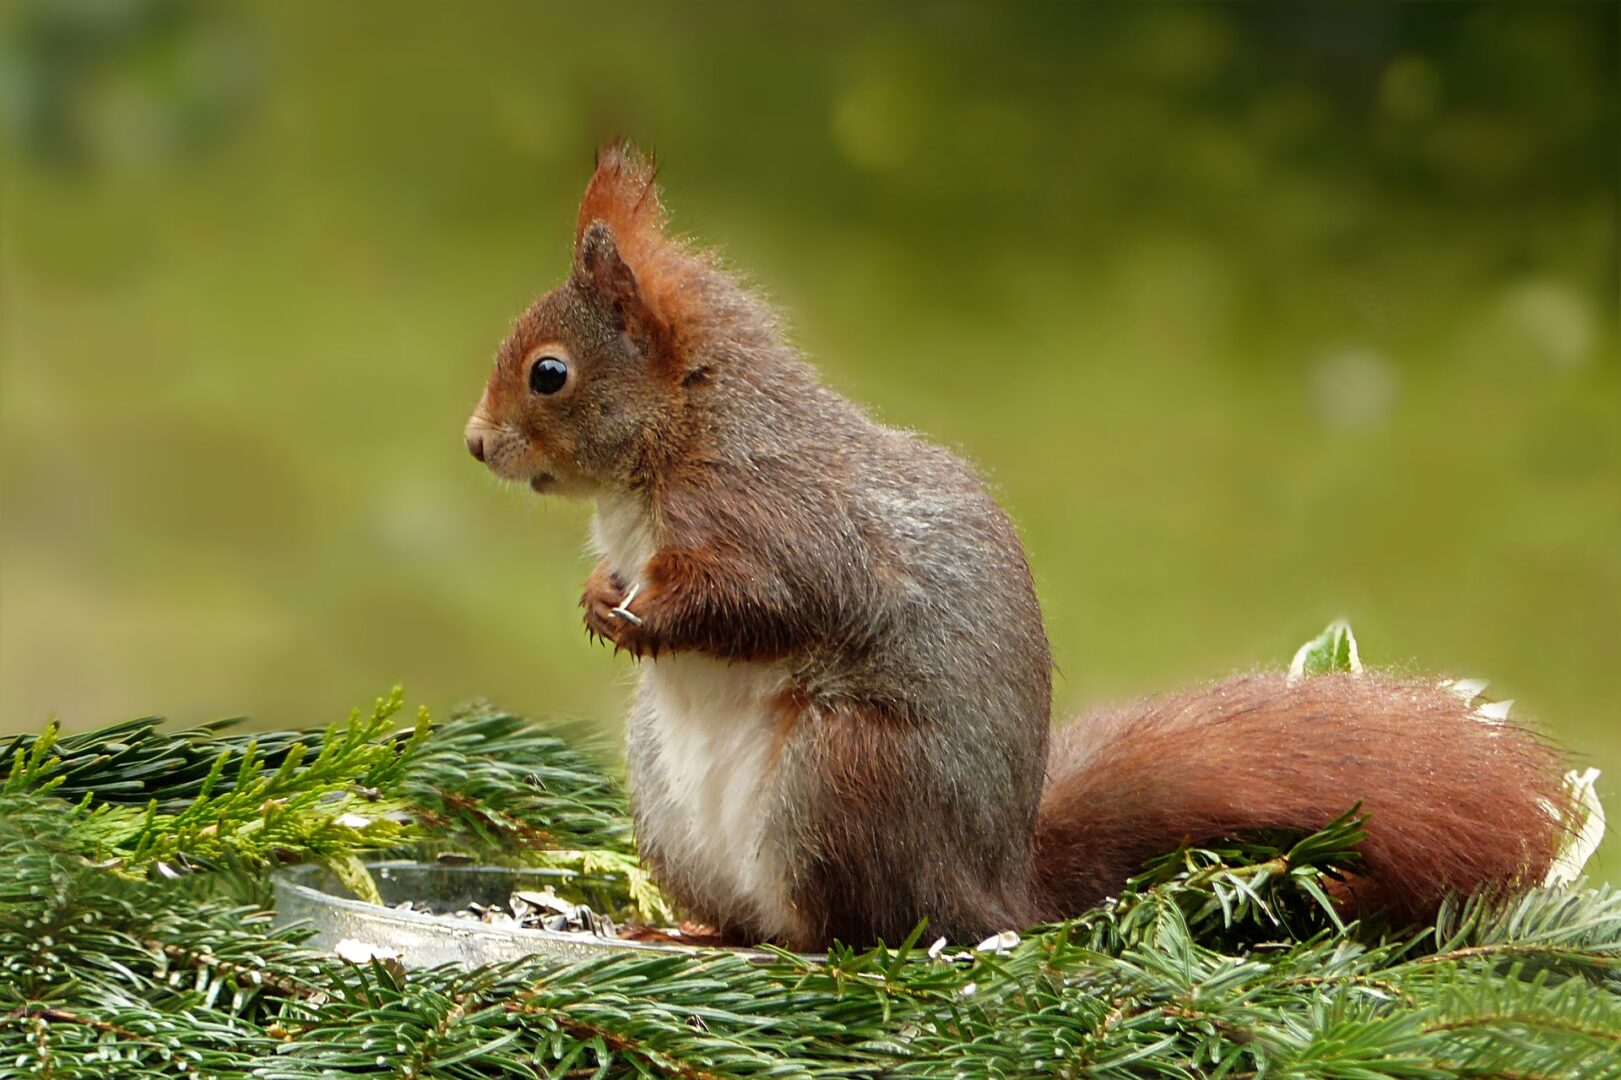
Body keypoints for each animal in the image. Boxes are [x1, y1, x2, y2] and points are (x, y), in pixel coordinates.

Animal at [463, 145, 1575, 953]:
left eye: (550, 374)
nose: (475, 445)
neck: (679, 440)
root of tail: (992, 895)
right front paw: (597, 597)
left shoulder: (782, 524)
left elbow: (765, 602)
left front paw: (640, 614)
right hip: (669, 793)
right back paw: (682, 928)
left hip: (841, 777)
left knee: (847, 931)